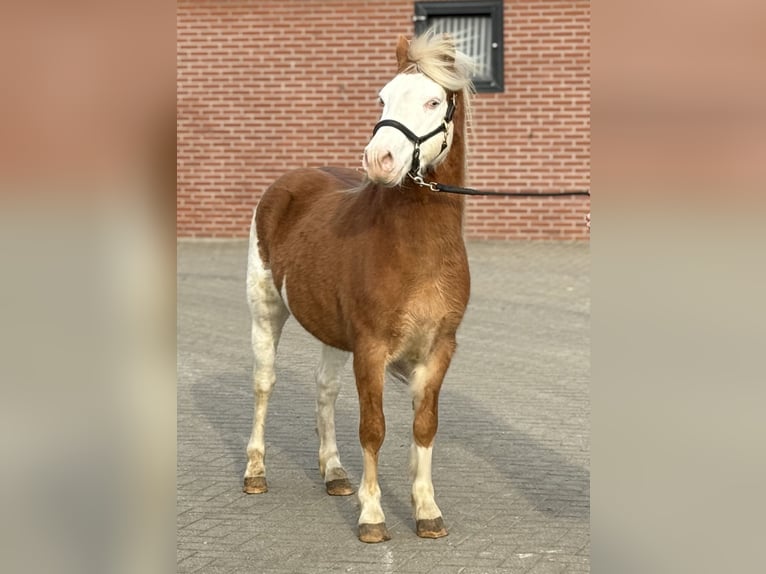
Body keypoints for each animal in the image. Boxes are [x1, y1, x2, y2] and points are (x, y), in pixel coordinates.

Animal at [244, 33, 474, 543]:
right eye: (383, 97)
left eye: (433, 101)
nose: (378, 160)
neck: (418, 250)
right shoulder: (370, 348)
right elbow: (374, 427)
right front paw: (372, 516)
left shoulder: (439, 349)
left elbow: (424, 426)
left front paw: (427, 511)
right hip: (265, 312)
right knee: (265, 383)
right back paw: (255, 472)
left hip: (332, 333)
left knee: (325, 390)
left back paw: (334, 474)